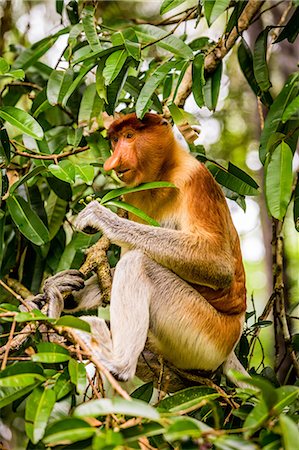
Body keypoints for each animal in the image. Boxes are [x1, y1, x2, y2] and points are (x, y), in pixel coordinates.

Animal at [46, 114, 248, 384]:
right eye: (115, 140)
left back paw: (116, 362)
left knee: (139, 263)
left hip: (207, 334)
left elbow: (219, 264)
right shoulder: (132, 197)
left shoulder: (196, 178)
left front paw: (100, 217)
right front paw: (61, 284)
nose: (112, 162)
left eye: (130, 136)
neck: (163, 173)